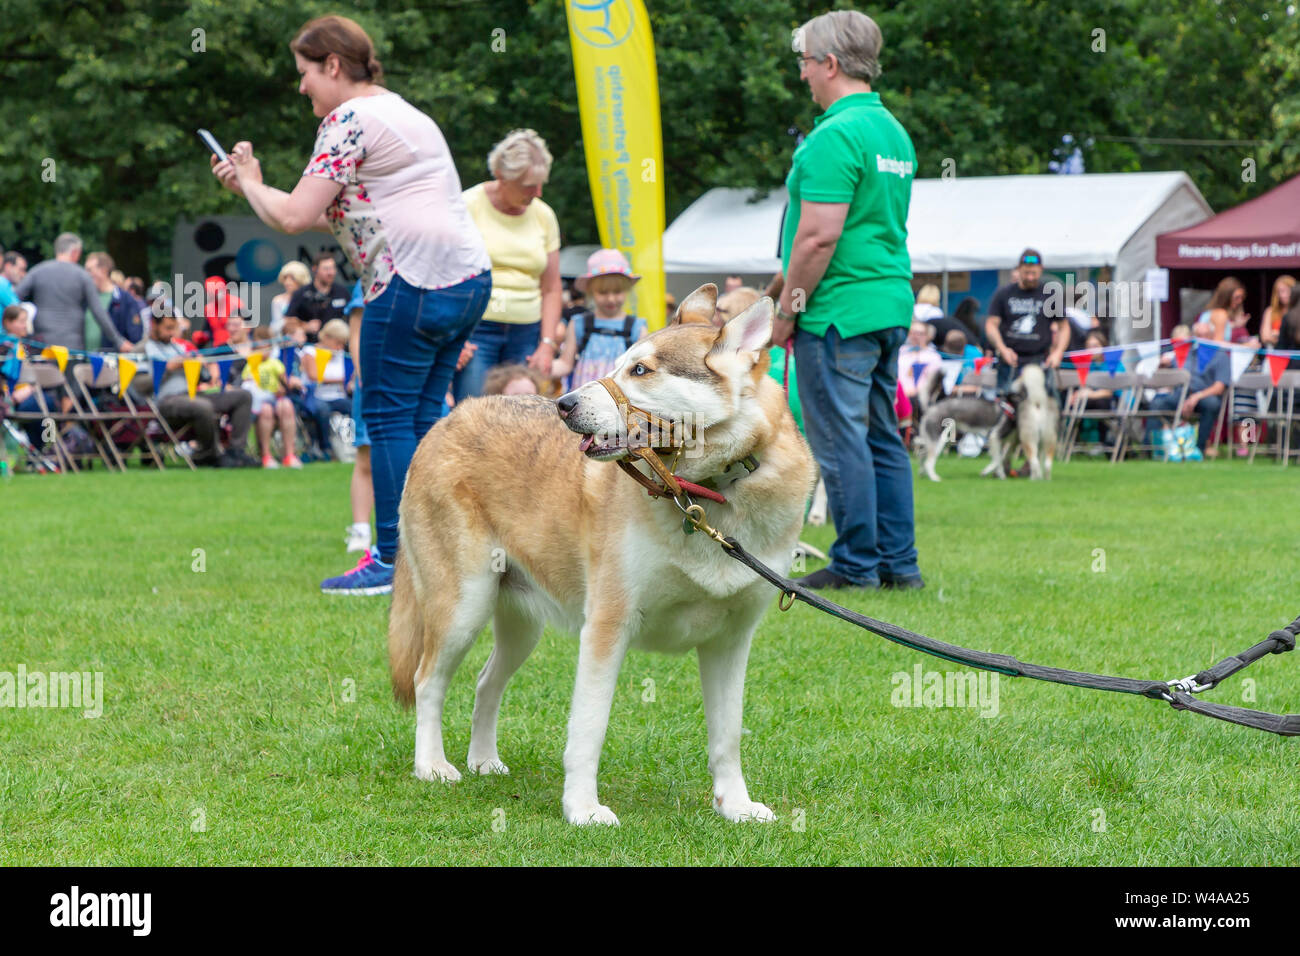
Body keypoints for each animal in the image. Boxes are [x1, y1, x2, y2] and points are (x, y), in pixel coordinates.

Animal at [384, 282, 811, 822]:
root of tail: (448, 417)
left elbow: (728, 735)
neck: (710, 494)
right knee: (427, 682)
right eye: (621, 364)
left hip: (520, 625)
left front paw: (735, 805)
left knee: (485, 683)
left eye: (641, 371)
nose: (563, 404)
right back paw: (432, 766)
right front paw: (583, 809)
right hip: (463, 606)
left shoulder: (731, 641)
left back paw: (483, 760)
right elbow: (588, 730)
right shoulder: (608, 626)